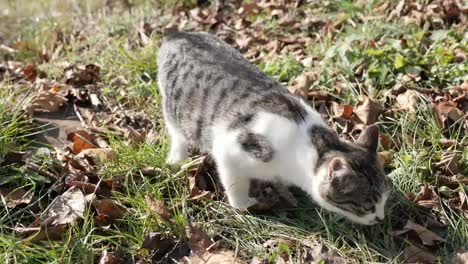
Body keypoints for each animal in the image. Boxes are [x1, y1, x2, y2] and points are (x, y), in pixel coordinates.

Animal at [157, 31, 392, 225]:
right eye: (367, 206)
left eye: (385, 198)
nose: (381, 218)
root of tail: (176, 35)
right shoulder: (230, 148)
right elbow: (234, 182)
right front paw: (243, 203)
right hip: (174, 111)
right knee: (176, 133)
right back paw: (177, 159)